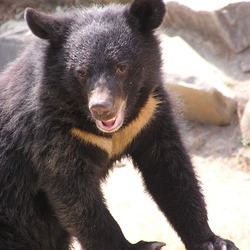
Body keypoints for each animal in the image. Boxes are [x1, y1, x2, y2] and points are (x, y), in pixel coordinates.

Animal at [0, 0, 238, 250]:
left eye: (121, 67)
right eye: (81, 73)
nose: (101, 107)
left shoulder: (150, 113)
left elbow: (171, 169)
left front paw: (214, 241)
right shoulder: (52, 131)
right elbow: (74, 192)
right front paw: (140, 245)